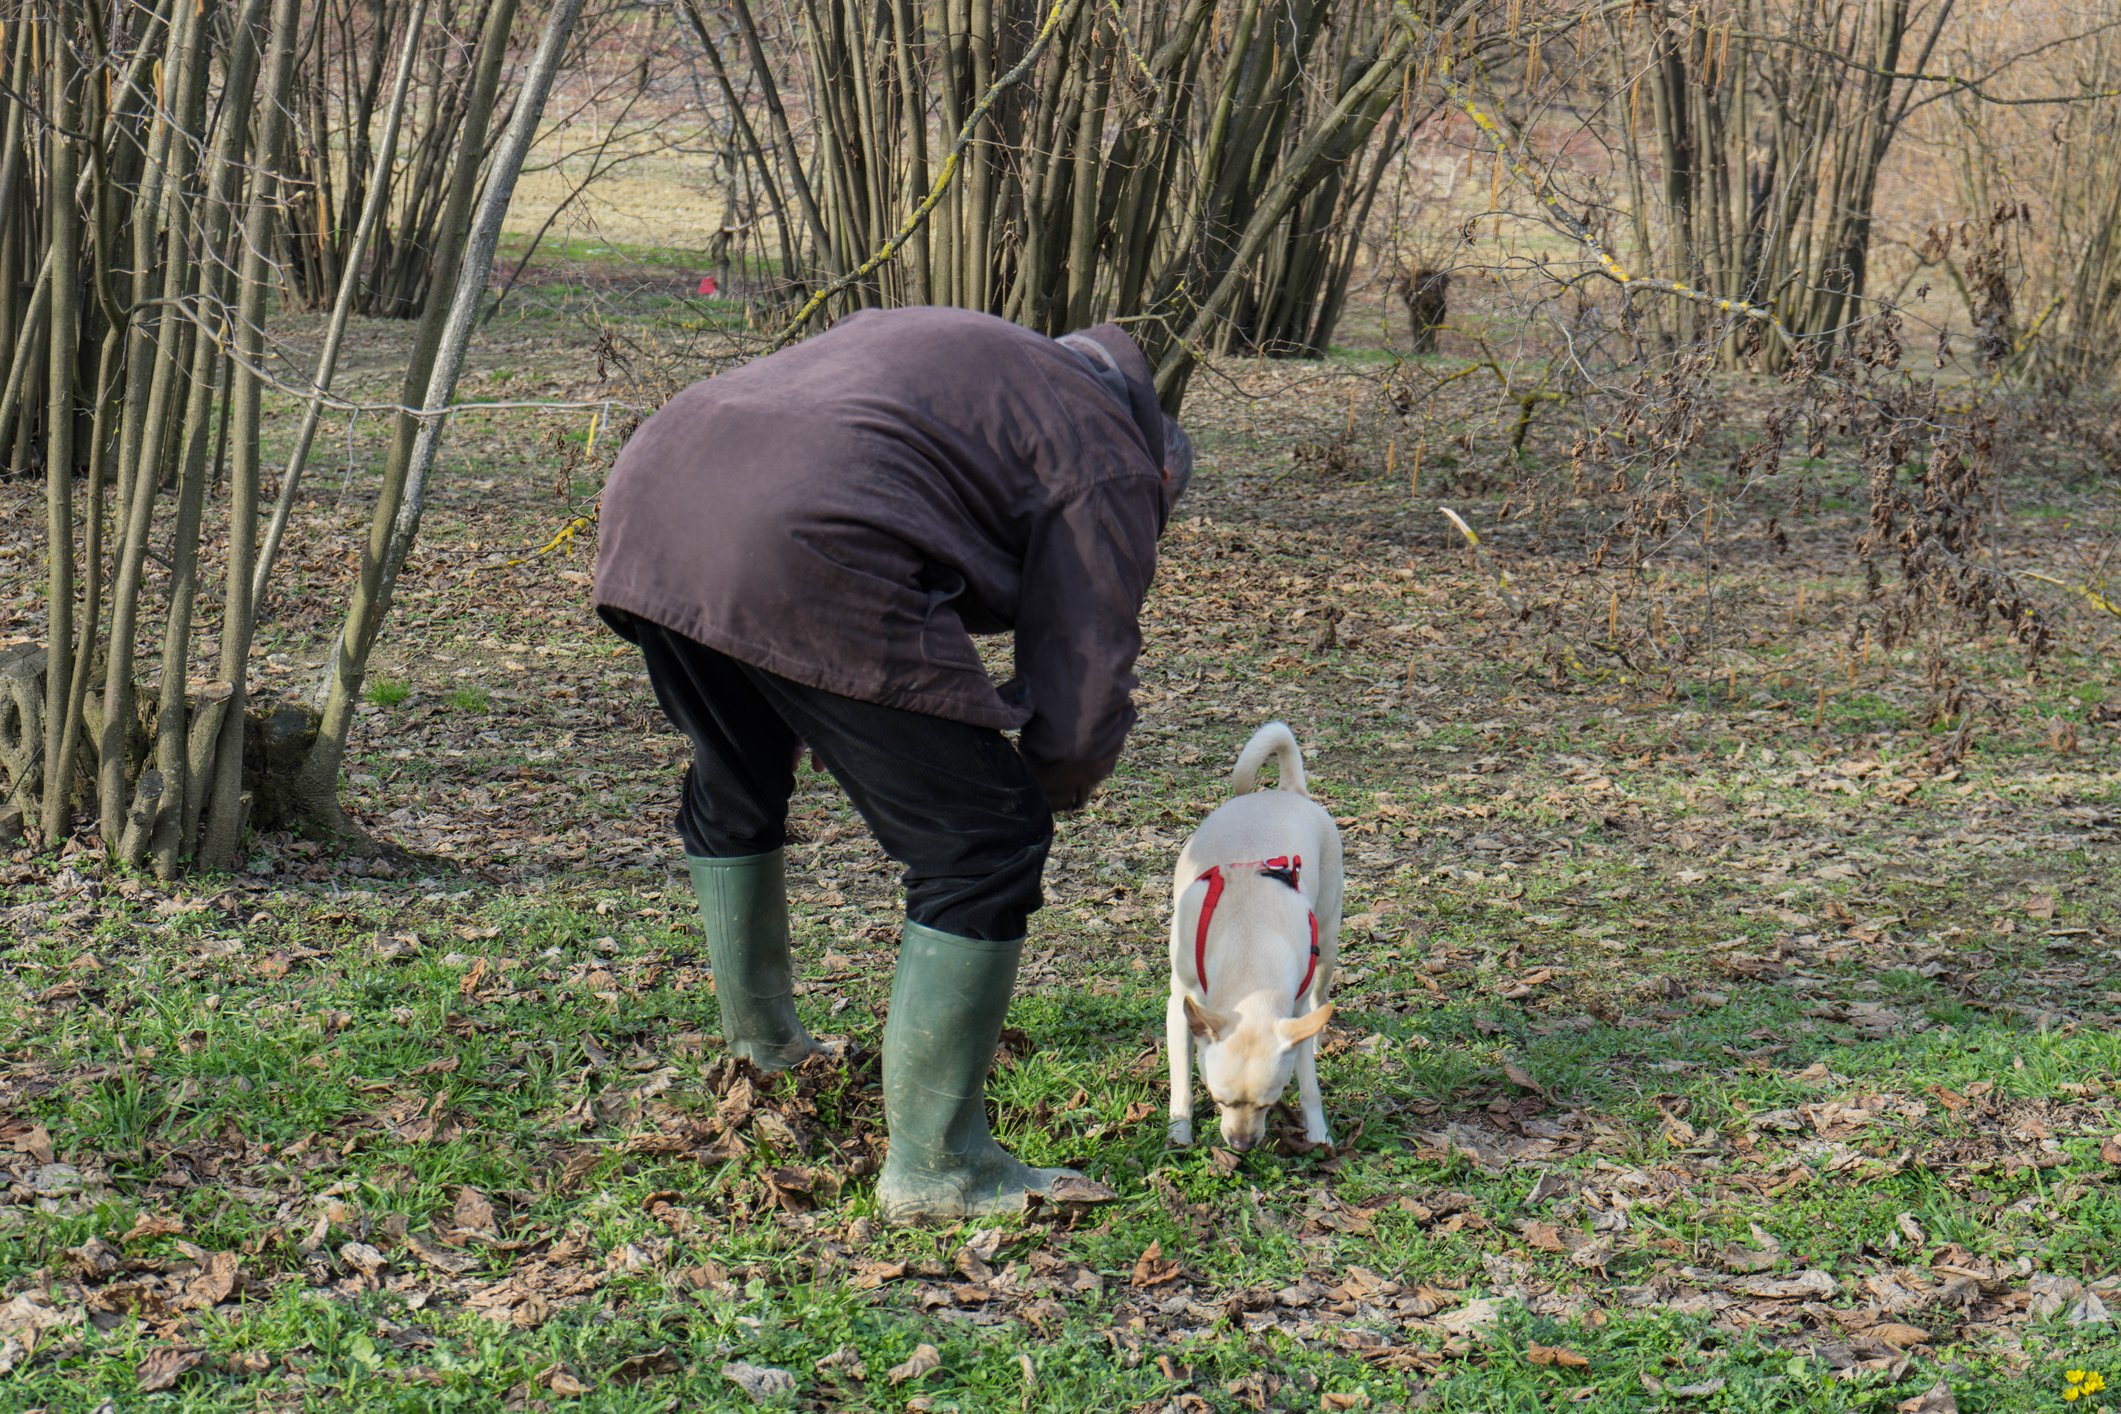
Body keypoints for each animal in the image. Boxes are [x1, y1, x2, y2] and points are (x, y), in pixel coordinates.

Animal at [1162, 720, 1340, 1153]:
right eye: (1218, 1099)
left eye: (1268, 1104)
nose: (1241, 1144)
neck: (1248, 948)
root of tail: (1287, 790)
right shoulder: (1180, 1007)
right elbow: (1180, 1081)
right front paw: (1179, 1131)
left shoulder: (1294, 1017)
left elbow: (1310, 1087)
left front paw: (1319, 1133)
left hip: (1327, 942)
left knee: (1321, 994)